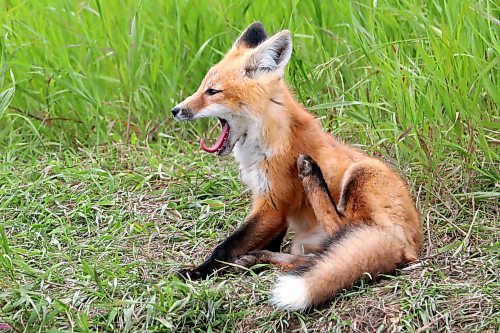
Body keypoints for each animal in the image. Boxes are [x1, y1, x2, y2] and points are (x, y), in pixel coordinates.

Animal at [172, 22, 422, 310]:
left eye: (212, 92)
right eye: (202, 87)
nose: (175, 110)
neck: (268, 138)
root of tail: (408, 246)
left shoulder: (273, 203)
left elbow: (224, 247)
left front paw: (196, 272)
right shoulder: (268, 201)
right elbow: (265, 241)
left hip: (361, 175)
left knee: (341, 225)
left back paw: (310, 173)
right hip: (305, 244)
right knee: (312, 258)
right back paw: (257, 258)